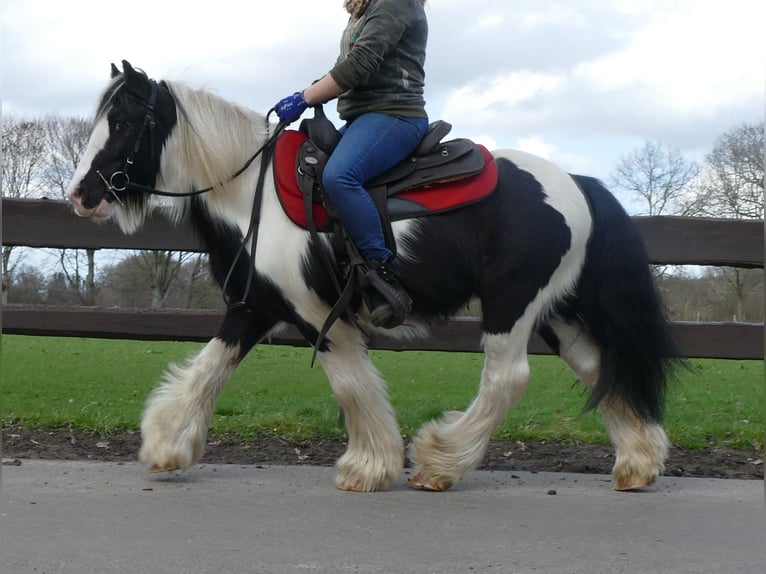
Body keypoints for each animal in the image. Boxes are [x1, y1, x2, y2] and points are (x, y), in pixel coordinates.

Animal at [67, 62, 680, 496]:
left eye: (123, 122)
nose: (81, 194)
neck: (249, 193)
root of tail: (578, 182)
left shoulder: (319, 315)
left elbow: (351, 384)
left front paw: (370, 466)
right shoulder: (254, 307)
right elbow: (208, 372)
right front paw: (166, 445)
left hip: (513, 305)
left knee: (507, 379)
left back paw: (439, 461)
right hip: (559, 313)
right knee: (600, 367)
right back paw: (638, 463)